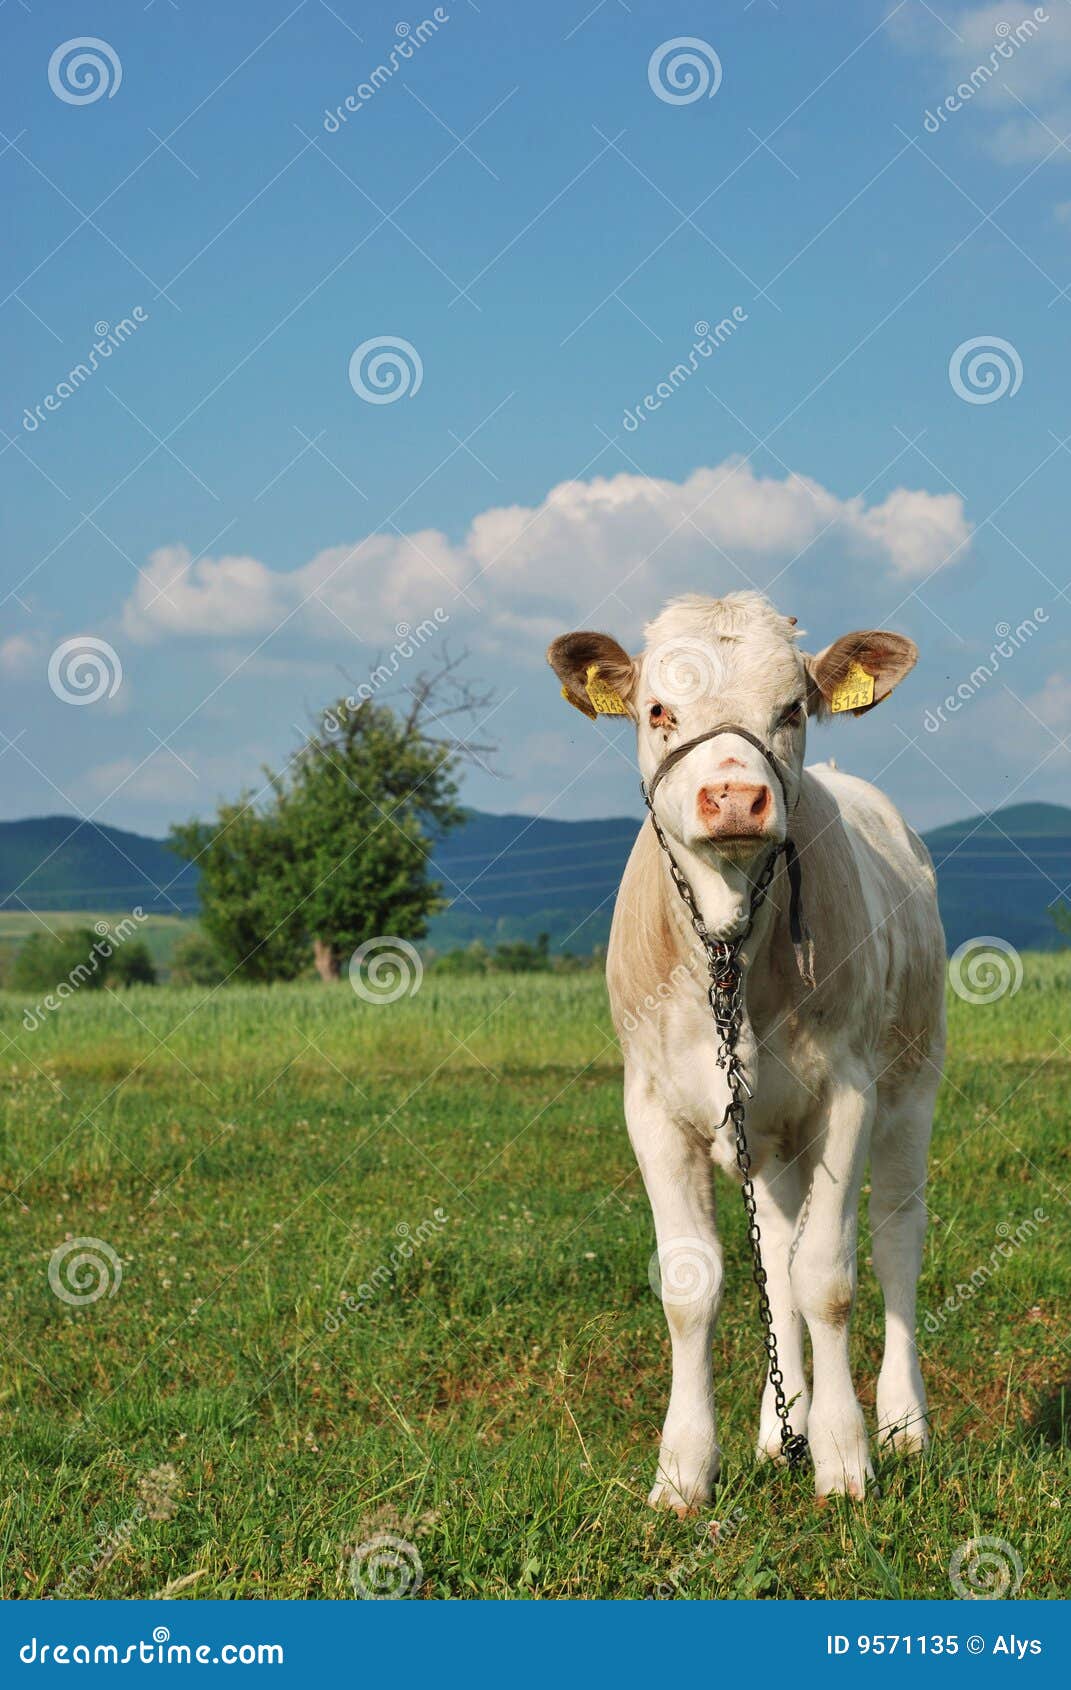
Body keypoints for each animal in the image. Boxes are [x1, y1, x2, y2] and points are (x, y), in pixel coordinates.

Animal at [548, 591, 945, 1507]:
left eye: (791, 709)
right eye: (658, 711)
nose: (733, 795)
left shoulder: (847, 1094)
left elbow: (827, 1278)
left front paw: (843, 1456)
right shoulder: (652, 1109)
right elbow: (698, 1287)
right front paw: (685, 1468)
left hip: (912, 1082)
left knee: (893, 1237)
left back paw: (902, 1423)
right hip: (765, 1135)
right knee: (777, 1250)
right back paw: (778, 1426)